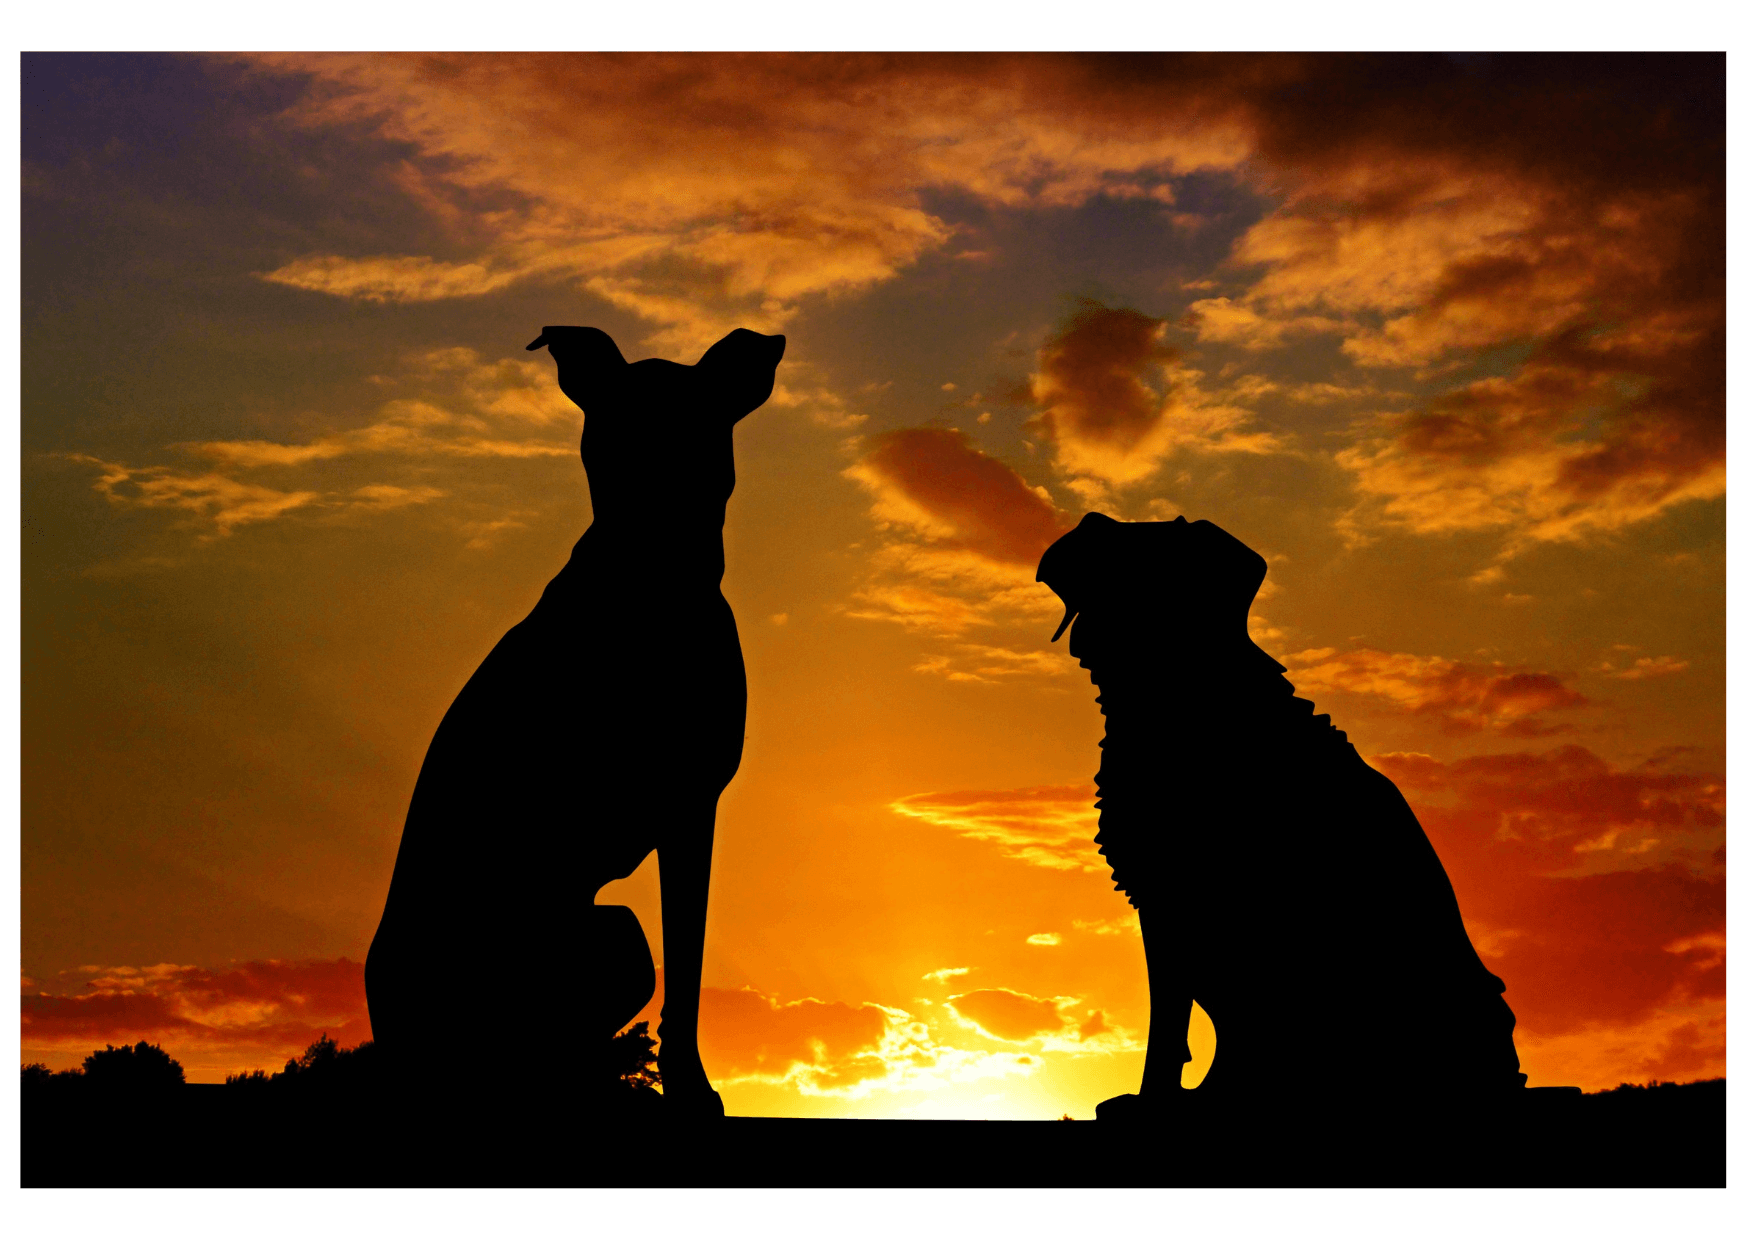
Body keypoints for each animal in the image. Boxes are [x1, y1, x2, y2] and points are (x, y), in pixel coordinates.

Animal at [368, 323, 786, 1119]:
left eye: (692, 423)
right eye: (610, 431)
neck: (647, 576)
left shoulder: (693, 806)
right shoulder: (689, 808)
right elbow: (688, 966)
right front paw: (691, 1090)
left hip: (609, 938)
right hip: (598, 938)